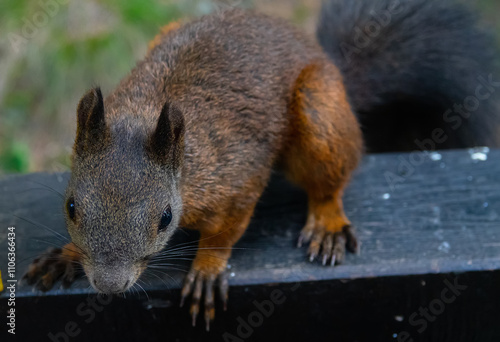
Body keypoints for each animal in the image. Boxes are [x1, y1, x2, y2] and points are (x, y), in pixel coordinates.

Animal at [22, 0, 500, 332]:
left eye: (165, 219)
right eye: (70, 208)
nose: (108, 284)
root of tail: (329, 63)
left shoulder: (236, 179)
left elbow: (227, 229)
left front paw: (207, 268)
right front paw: (66, 255)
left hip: (320, 112)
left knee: (331, 179)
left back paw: (327, 220)